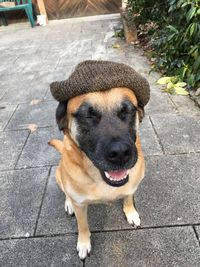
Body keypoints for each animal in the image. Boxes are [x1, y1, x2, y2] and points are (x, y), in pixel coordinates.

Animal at [48, 87, 145, 260]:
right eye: (88, 115)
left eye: (127, 111)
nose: (120, 153)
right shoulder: (80, 205)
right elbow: (83, 225)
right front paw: (84, 243)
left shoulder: (131, 186)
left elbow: (128, 198)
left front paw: (131, 213)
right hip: (59, 175)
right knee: (66, 192)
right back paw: (68, 203)